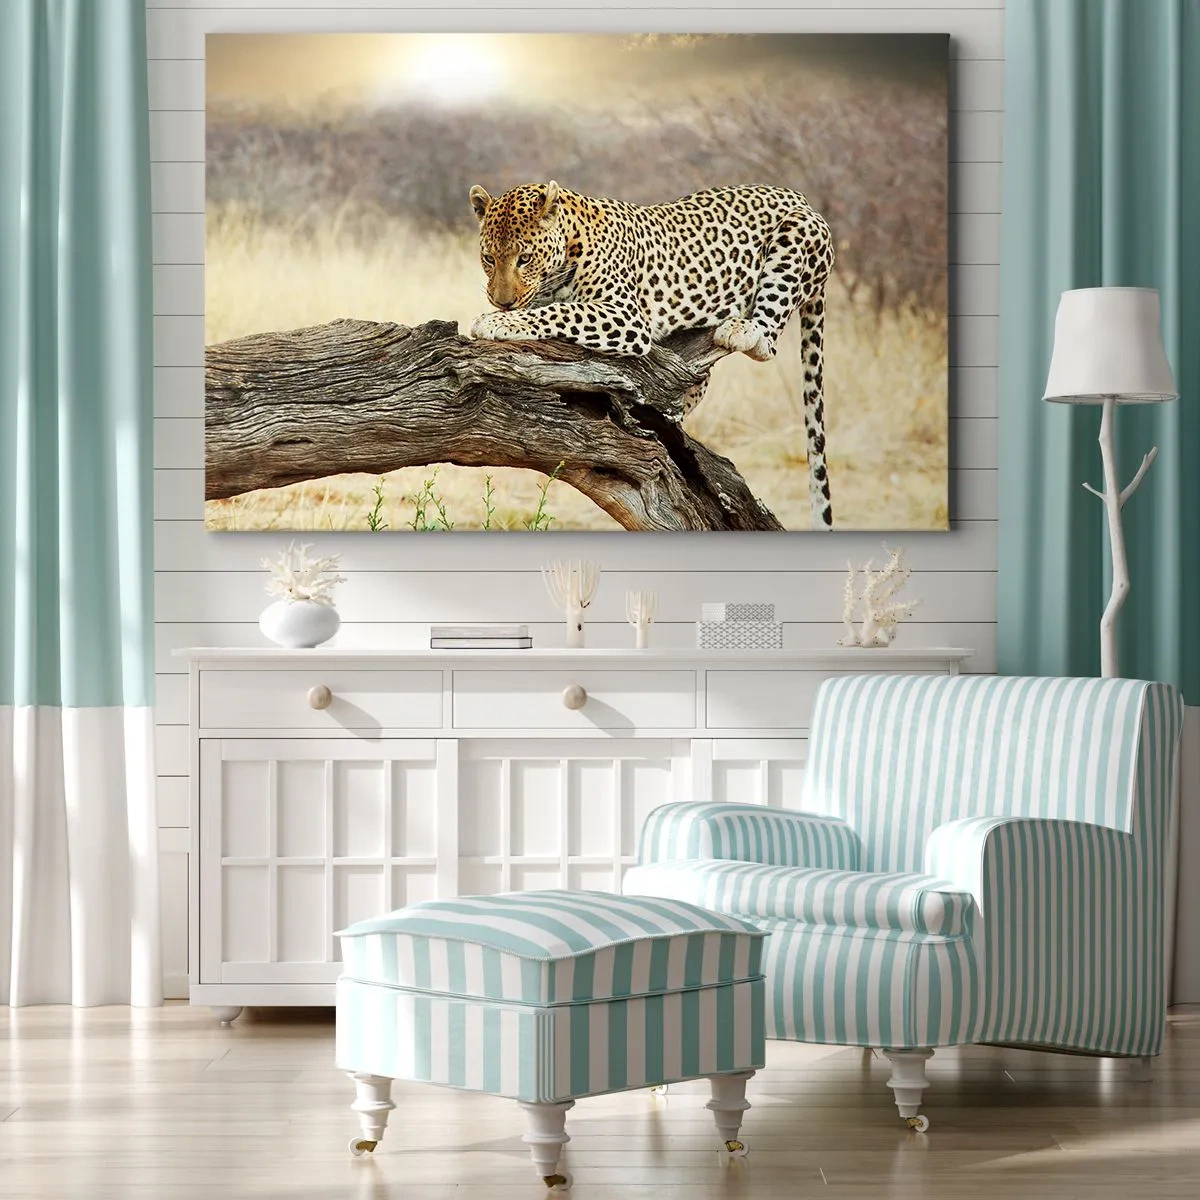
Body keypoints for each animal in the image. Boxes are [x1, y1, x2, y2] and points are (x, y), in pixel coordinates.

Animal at [467, 180, 836, 530]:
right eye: (488, 259)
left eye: (525, 258)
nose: (502, 302)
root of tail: (799, 196)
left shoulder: (625, 315)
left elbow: (561, 312)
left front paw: (496, 321)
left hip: (797, 234)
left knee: (767, 341)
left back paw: (742, 329)